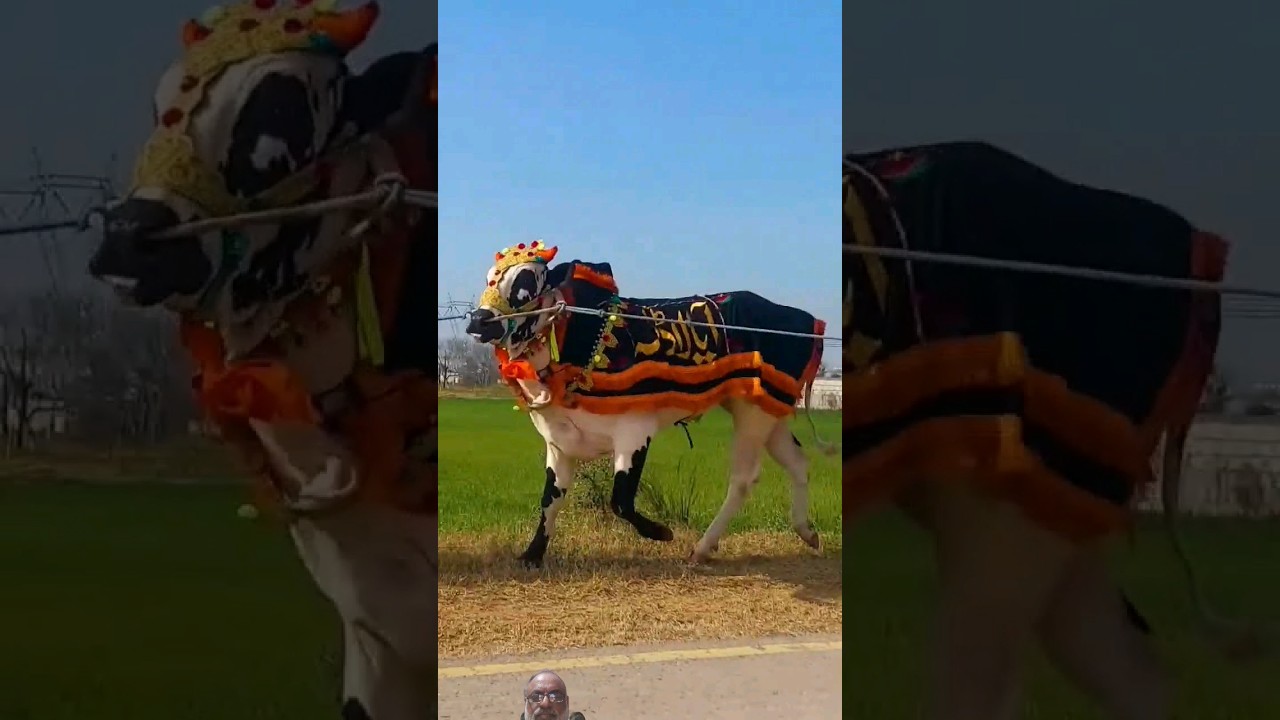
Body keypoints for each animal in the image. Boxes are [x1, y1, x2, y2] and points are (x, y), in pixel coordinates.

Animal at [465, 241, 833, 568]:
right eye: (490, 277)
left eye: (525, 285)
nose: (477, 320)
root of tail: (805, 321)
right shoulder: (559, 443)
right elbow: (550, 502)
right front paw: (532, 554)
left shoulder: (634, 432)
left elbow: (620, 501)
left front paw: (662, 532)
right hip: (766, 409)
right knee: (798, 462)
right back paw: (807, 532)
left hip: (752, 414)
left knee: (744, 478)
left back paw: (702, 548)